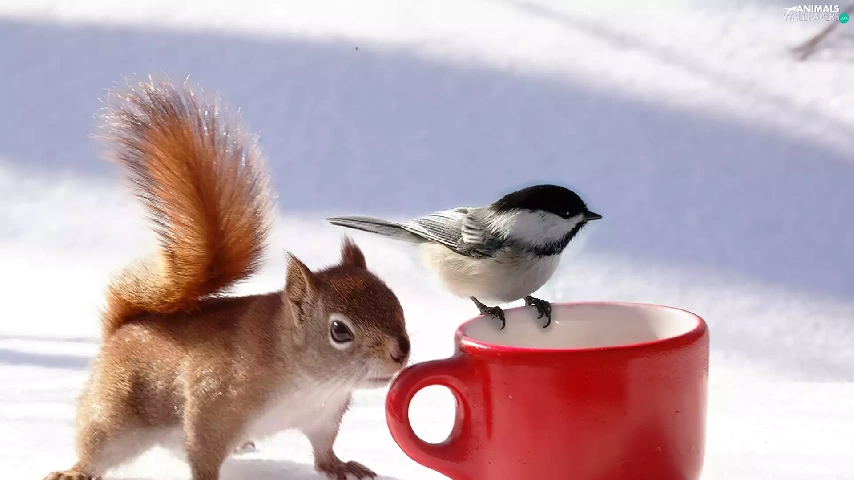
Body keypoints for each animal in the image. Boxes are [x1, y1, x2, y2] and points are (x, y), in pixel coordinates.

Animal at [43, 78, 411, 480]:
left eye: (396, 304)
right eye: (339, 331)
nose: (401, 353)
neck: (307, 380)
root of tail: (125, 326)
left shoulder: (323, 417)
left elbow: (323, 450)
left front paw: (341, 466)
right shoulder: (212, 405)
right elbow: (203, 454)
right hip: (114, 413)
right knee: (95, 442)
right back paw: (75, 471)